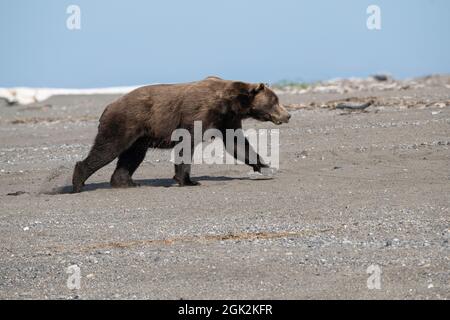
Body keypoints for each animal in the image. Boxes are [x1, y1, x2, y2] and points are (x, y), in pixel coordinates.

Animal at [72, 77, 290, 192]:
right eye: (275, 101)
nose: (288, 115)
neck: (230, 104)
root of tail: (108, 106)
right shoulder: (198, 113)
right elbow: (187, 143)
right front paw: (188, 180)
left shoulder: (227, 120)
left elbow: (237, 144)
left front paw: (265, 165)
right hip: (125, 123)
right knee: (108, 148)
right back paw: (78, 182)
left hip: (140, 135)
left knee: (132, 156)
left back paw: (128, 182)